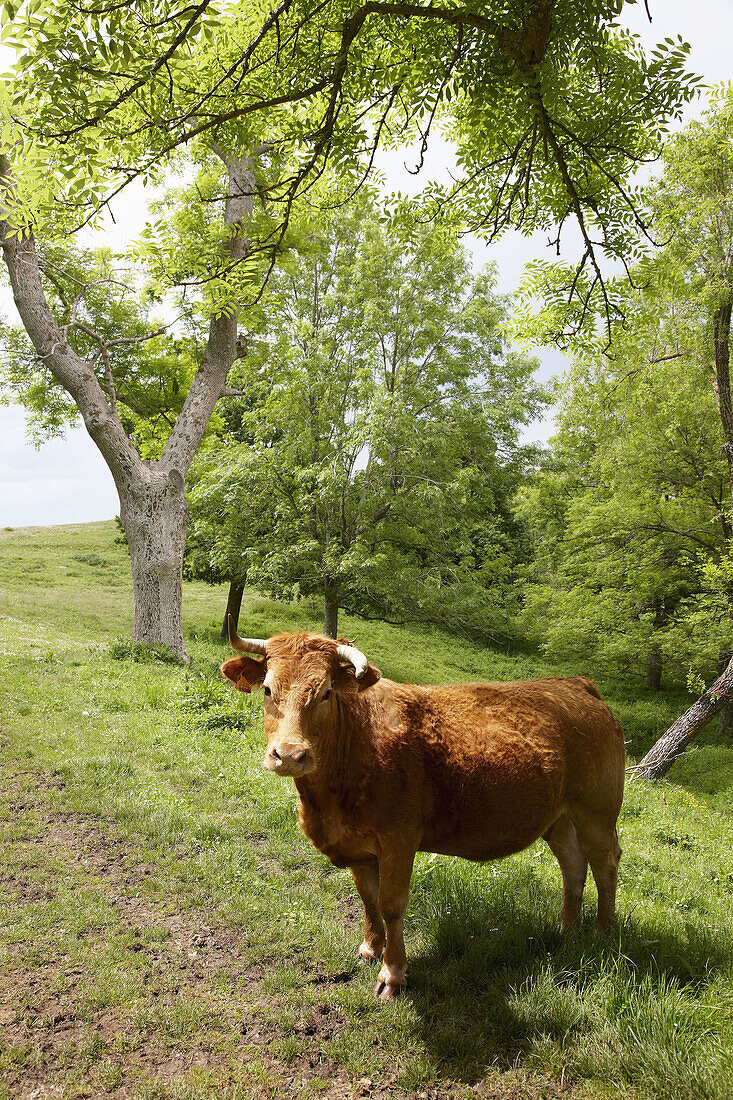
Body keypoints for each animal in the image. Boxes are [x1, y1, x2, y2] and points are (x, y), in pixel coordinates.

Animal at [220, 624, 620, 1003]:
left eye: (326, 693)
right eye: (267, 690)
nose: (289, 754)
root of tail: (574, 684)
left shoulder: (399, 840)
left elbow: (392, 904)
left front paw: (392, 974)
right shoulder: (357, 846)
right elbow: (368, 898)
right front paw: (370, 948)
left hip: (597, 812)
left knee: (605, 865)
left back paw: (601, 933)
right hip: (559, 819)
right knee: (573, 867)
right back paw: (567, 930)